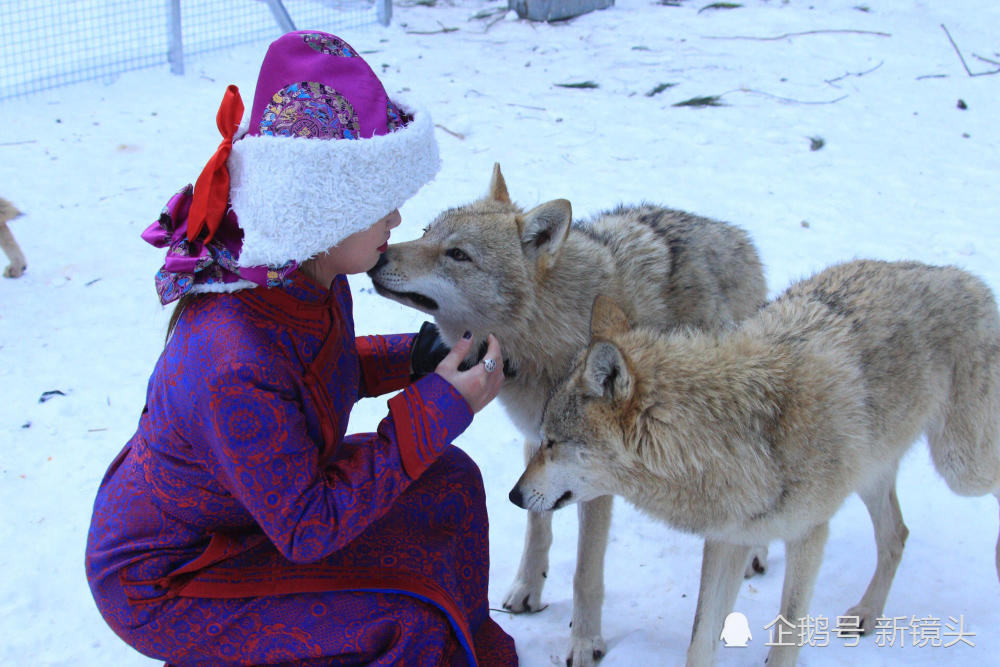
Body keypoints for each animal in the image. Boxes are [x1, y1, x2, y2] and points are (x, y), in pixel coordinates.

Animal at [368, 163, 764, 667]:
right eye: (424, 233)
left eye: (457, 254)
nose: (376, 257)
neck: (545, 335)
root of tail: (736, 235)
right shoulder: (538, 446)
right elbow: (536, 529)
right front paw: (525, 591)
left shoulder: (594, 476)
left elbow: (584, 573)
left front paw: (584, 642)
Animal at [516, 260, 1000, 667]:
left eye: (553, 442)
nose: (514, 495)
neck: (733, 437)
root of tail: (964, 277)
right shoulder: (728, 539)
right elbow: (700, 642)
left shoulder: (808, 536)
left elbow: (786, 641)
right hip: (872, 471)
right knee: (896, 534)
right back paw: (867, 612)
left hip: (960, 467)